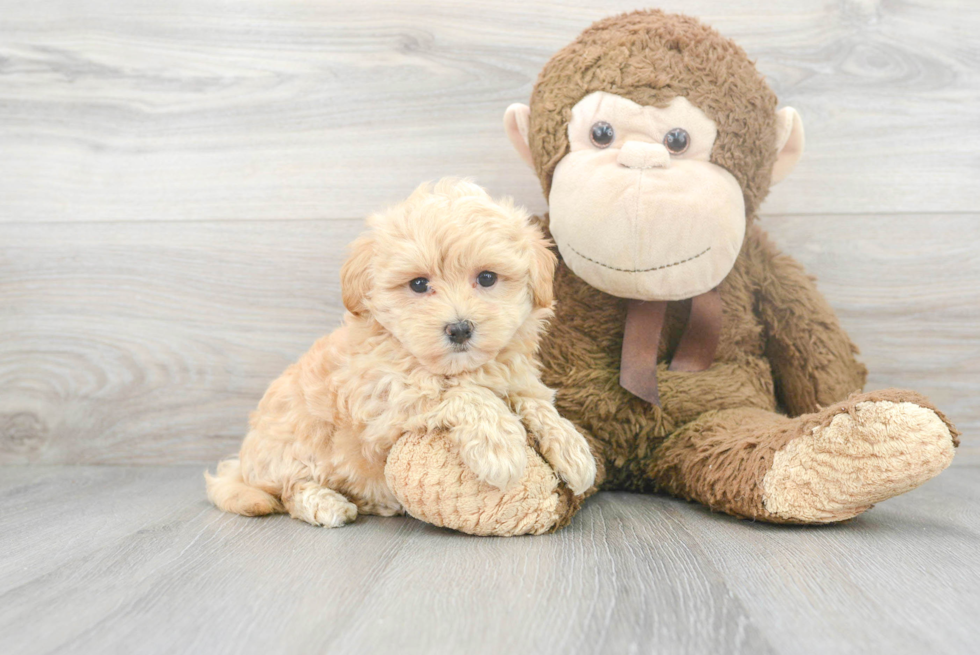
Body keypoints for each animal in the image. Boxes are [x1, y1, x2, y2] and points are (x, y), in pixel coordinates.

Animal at [205, 179, 596, 528]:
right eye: (419, 284)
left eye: (487, 278)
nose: (459, 329)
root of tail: (243, 466)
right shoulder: (382, 400)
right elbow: (462, 393)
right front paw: (498, 446)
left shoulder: (515, 378)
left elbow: (535, 402)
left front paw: (574, 450)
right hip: (297, 449)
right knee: (289, 490)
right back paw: (326, 504)